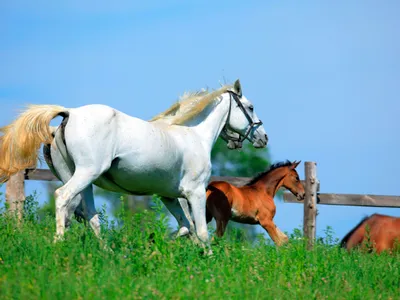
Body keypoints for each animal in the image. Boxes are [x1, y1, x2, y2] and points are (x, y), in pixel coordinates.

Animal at [1, 79, 268, 248]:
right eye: (251, 107)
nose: (263, 138)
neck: (193, 135)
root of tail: (70, 113)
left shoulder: (169, 196)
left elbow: (185, 227)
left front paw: (156, 244)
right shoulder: (195, 193)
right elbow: (201, 231)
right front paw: (208, 262)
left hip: (80, 179)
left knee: (88, 215)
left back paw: (108, 254)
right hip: (85, 174)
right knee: (63, 198)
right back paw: (59, 243)